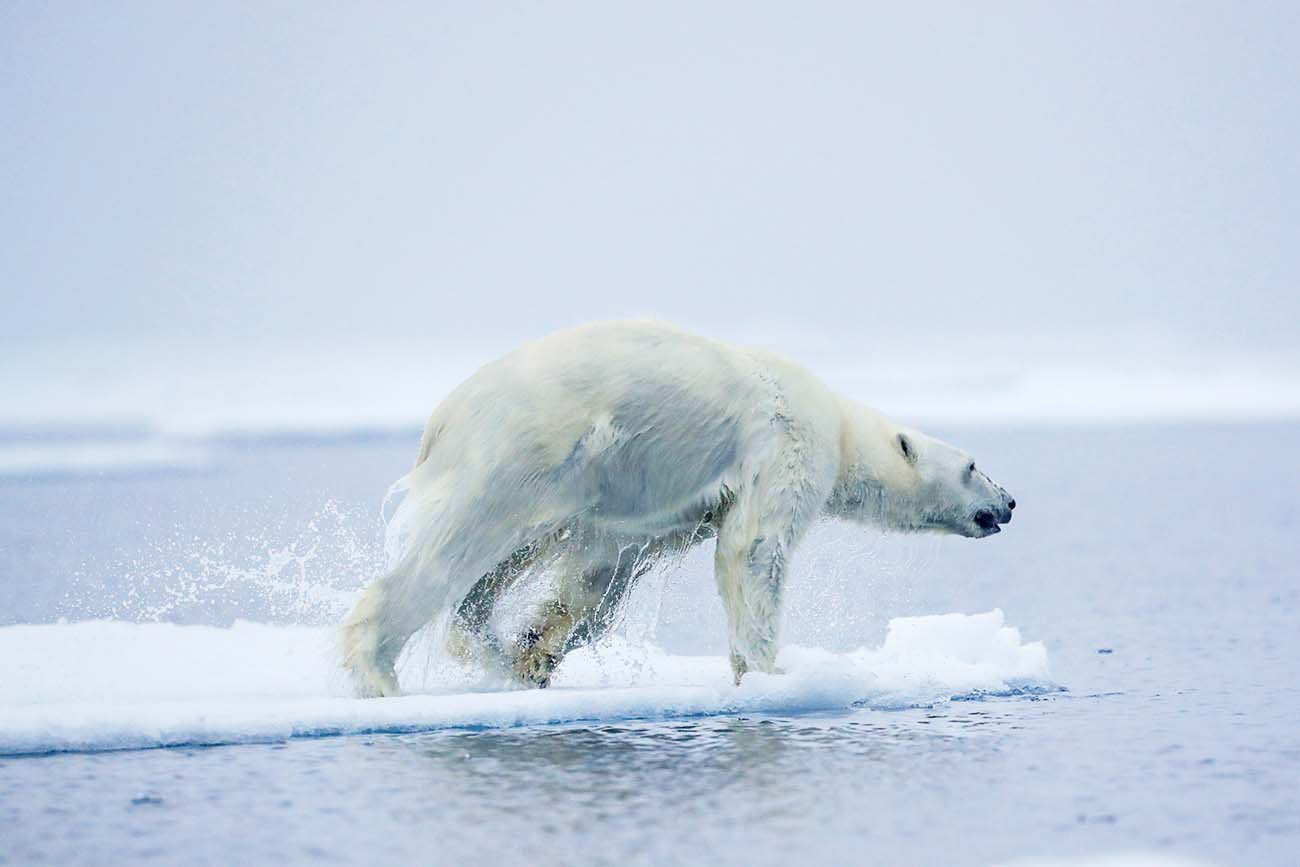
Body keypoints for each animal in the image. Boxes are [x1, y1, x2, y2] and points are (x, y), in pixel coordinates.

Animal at [338, 318, 1013, 696]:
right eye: (972, 464)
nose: (1008, 502)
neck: (840, 424)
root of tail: (441, 418)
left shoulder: (659, 511)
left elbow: (601, 572)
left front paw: (536, 650)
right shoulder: (784, 445)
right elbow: (755, 552)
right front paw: (771, 673)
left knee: (499, 565)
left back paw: (489, 646)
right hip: (518, 454)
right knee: (450, 554)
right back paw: (380, 674)